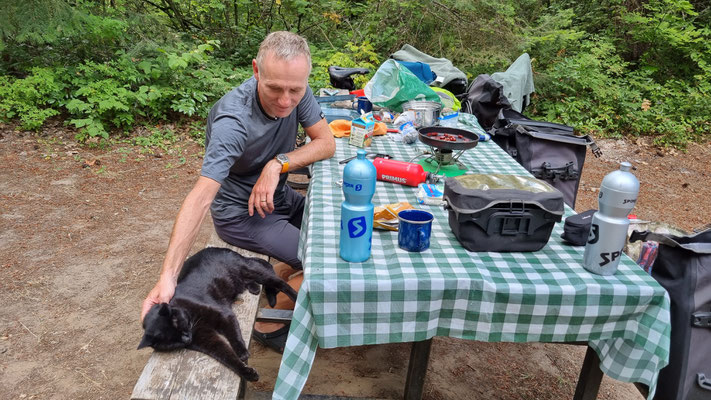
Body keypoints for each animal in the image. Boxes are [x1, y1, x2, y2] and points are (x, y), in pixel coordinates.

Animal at [138, 247, 296, 382]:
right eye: (172, 341)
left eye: (178, 325)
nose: (187, 338)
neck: (193, 319)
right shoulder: (207, 341)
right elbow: (227, 357)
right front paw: (247, 372)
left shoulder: (224, 314)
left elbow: (234, 335)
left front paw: (242, 352)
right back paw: (255, 287)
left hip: (251, 270)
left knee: (279, 282)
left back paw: (295, 296)